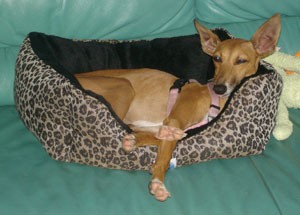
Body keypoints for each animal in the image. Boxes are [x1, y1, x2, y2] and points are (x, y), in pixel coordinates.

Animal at [75, 14, 282, 202]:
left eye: (241, 61)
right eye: (217, 58)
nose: (220, 88)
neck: (213, 97)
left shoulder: (170, 124)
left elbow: (158, 138)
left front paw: (137, 140)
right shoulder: (174, 120)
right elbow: (165, 156)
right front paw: (157, 182)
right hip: (123, 86)